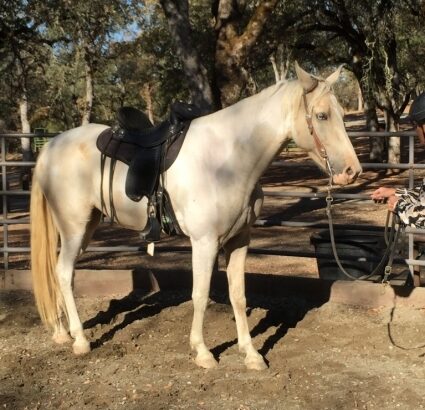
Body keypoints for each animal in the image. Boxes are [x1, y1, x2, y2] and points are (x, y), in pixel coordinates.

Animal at [29, 62, 362, 370]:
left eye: (341, 114)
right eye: (322, 116)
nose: (352, 171)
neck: (229, 159)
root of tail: (50, 147)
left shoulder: (239, 240)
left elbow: (238, 295)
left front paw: (251, 354)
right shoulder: (205, 242)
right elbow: (200, 295)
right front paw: (202, 352)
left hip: (86, 227)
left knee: (60, 272)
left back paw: (62, 333)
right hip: (74, 227)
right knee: (63, 272)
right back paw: (80, 340)